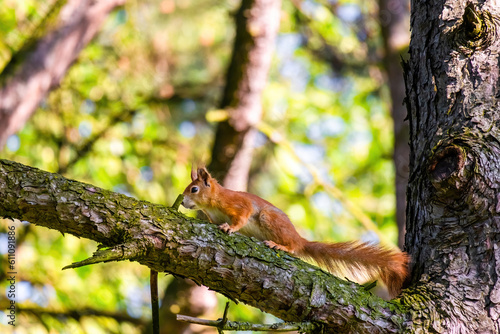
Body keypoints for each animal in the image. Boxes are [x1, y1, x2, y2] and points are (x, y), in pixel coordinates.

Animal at [182, 167, 408, 298]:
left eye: (194, 189)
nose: (183, 202)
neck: (213, 203)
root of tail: (300, 239)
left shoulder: (239, 204)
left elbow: (241, 217)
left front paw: (230, 228)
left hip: (268, 219)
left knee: (292, 247)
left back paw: (279, 245)